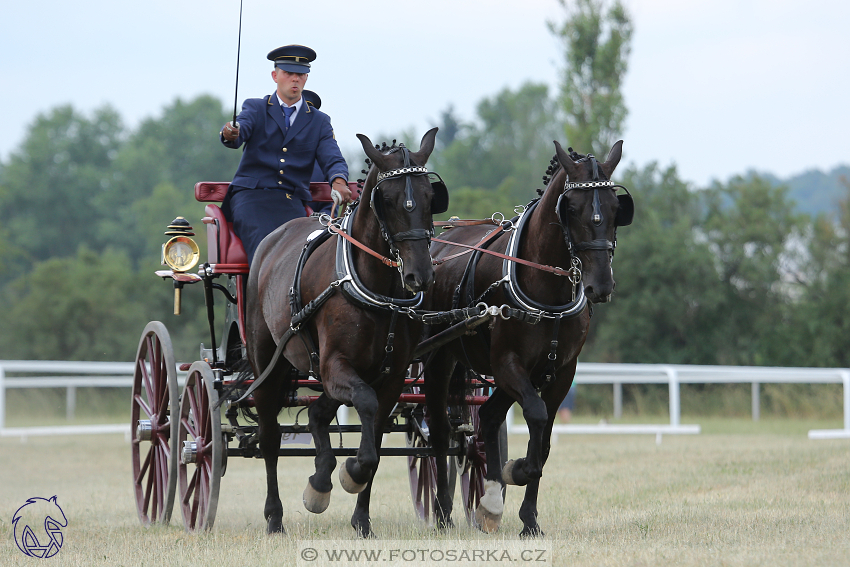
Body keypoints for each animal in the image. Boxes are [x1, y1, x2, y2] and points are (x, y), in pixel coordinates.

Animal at [243, 126, 444, 536]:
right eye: (386, 199)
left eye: (431, 196)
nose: (420, 275)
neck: (375, 286)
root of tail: (272, 241)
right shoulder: (337, 364)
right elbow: (364, 404)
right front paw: (347, 473)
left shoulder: (391, 376)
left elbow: (376, 443)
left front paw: (360, 516)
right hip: (267, 365)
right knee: (270, 439)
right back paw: (275, 516)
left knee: (319, 413)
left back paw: (320, 478)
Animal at [422, 139, 628, 536]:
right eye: (572, 208)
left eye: (616, 207)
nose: (601, 285)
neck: (548, 287)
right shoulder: (507, 363)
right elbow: (535, 414)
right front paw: (515, 470)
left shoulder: (559, 372)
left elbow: (543, 440)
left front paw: (528, 518)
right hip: (439, 358)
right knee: (439, 432)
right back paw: (442, 511)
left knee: (487, 417)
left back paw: (488, 498)